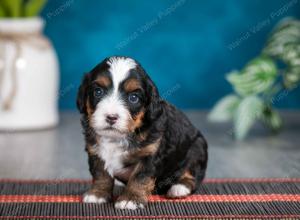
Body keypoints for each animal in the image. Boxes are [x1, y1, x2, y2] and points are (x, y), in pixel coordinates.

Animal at [77, 55, 207, 209]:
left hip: (197, 149)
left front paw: (131, 199)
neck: (118, 137)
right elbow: (100, 173)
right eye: (98, 92)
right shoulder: (95, 151)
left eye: (133, 98)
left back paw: (179, 188)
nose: (111, 117)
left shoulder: (150, 153)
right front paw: (98, 194)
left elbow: (140, 177)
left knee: (192, 175)